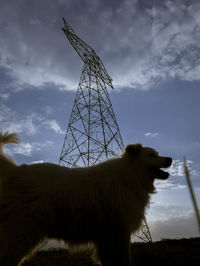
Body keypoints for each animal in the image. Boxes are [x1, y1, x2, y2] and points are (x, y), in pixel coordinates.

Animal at [0, 132, 172, 264]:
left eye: (157, 154)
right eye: (152, 155)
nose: (170, 159)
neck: (131, 175)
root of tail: (16, 171)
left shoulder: (106, 237)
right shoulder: (119, 233)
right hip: (24, 232)